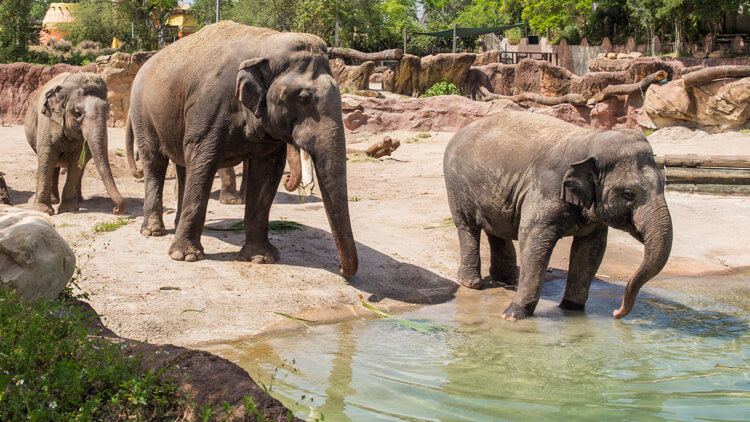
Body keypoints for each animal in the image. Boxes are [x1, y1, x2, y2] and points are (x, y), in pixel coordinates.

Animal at [25, 72, 125, 216]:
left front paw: (68, 209)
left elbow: (76, 162)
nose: (115, 209)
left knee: (78, 169)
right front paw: (44, 211)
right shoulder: (46, 123)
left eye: (107, 111)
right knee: (53, 164)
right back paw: (54, 201)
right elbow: (46, 157)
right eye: (77, 113)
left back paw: (77, 200)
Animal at [125, 21, 358, 276]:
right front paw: (184, 257)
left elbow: (266, 175)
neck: (264, 43)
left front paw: (261, 258)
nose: (339, 267)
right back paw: (153, 231)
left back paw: (175, 226)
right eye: (304, 98)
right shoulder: (209, 108)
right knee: (155, 162)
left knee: (183, 166)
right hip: (142, 112)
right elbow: (203, 163)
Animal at [443, 110, 673, 321]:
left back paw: (509, 280)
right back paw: (471, 283)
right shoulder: (545, 189)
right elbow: (533, 242)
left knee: (497, 228)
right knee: (468, 226)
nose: (616, 313)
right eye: (628, 194)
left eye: (664, 184)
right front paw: (512, 315)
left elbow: (591, 251)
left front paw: (572, 310)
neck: (589, 141)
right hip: (457, 184)